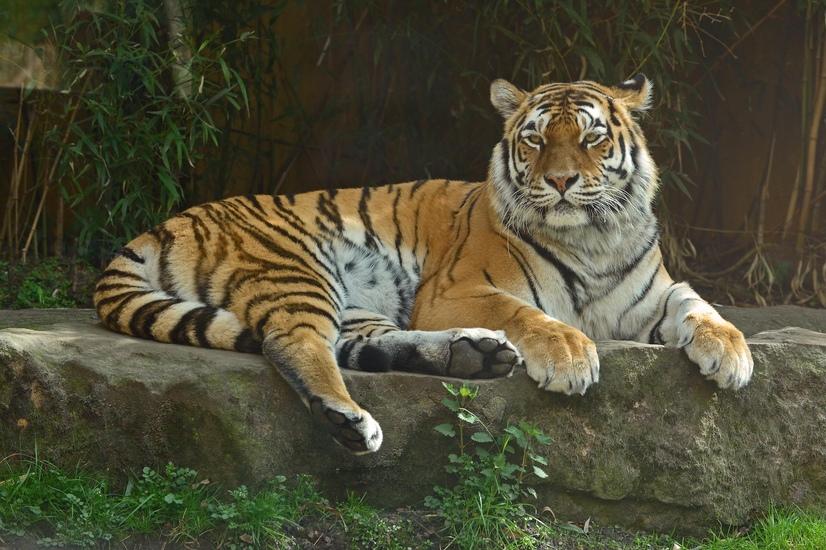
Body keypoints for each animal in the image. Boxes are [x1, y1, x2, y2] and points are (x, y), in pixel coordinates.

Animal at [94, 74, 753, 454]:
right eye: (535, 140)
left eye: (592, 138)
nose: (562, 182)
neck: (594, 239)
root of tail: (165, 222)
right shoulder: (455, 290)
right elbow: (527, 314)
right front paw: (569, 355)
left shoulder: (652, 293)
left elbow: (701, 306)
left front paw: (731, 355)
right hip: (297, 269)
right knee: (294, 342)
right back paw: (349, 419)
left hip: (357, 304)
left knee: (359, 348)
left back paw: (473, 356)